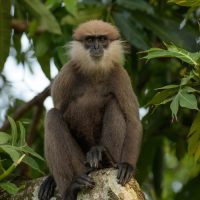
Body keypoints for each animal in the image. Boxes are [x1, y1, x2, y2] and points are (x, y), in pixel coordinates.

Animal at [38, 19, 142, 200]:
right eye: (90, 40)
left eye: (102, 39)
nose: (96, 47)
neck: (94, 73)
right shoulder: (66, 74)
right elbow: (58, 109)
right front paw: (51, 179)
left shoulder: (120, 75)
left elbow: (132, 120)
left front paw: (127, 165)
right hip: (81, 164)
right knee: (52, 116)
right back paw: (70, 189)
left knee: (114, 103)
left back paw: (106, 159)